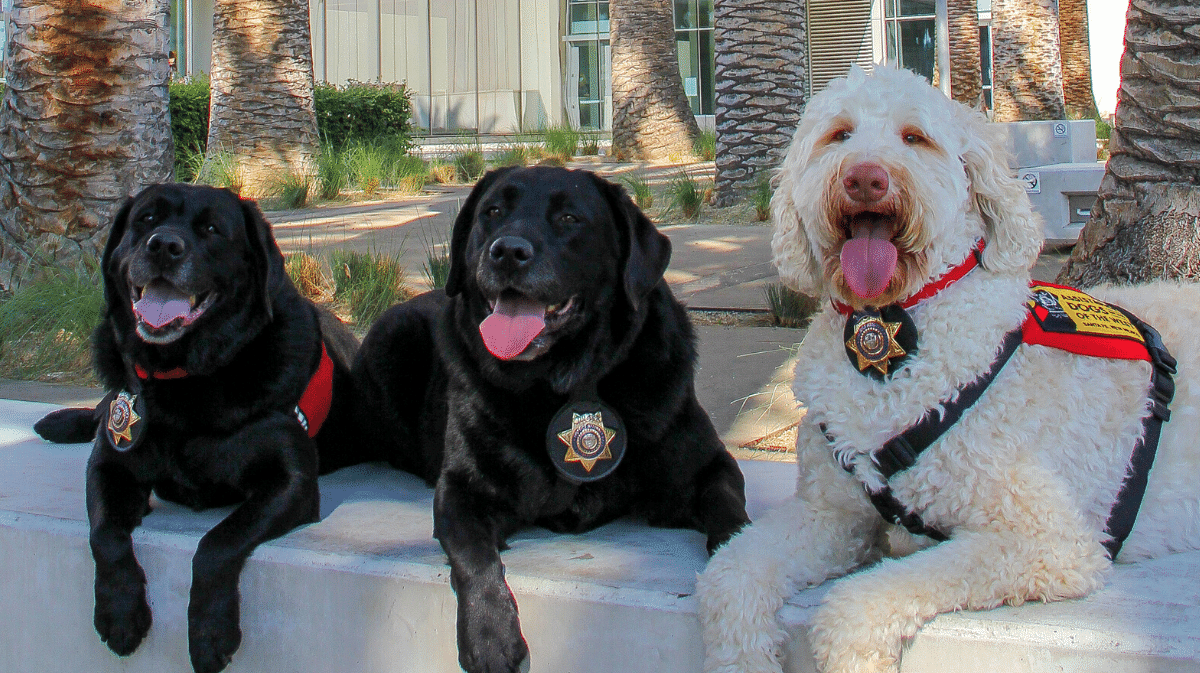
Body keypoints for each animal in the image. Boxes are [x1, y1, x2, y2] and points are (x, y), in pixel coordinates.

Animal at [38, 182, 364, 671]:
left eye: (212, 229)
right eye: (146, 220)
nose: (163, 246)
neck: (185, 380)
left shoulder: (291, 482)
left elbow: (218, 542)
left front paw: (210, 634)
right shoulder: (110, 465)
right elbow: (105, 534)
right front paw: (119, 613)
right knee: (99, 411)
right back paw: (60, 421)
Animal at [352, 166, 748, 671]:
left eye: (568, 218)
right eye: (492, 212)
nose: (507, 251)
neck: (564, 384)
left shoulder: (710, 467)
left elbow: (731, 514)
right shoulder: (460, 491)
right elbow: (473, 554)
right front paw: (489, 633)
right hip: (391, 335)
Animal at [700, 64, 1195, 671]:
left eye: (915, 138)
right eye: (839, 135)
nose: (865, 179)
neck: (889, 339)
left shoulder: (1044, 540)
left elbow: (858, 602)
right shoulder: (831, 515)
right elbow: (729, 574)